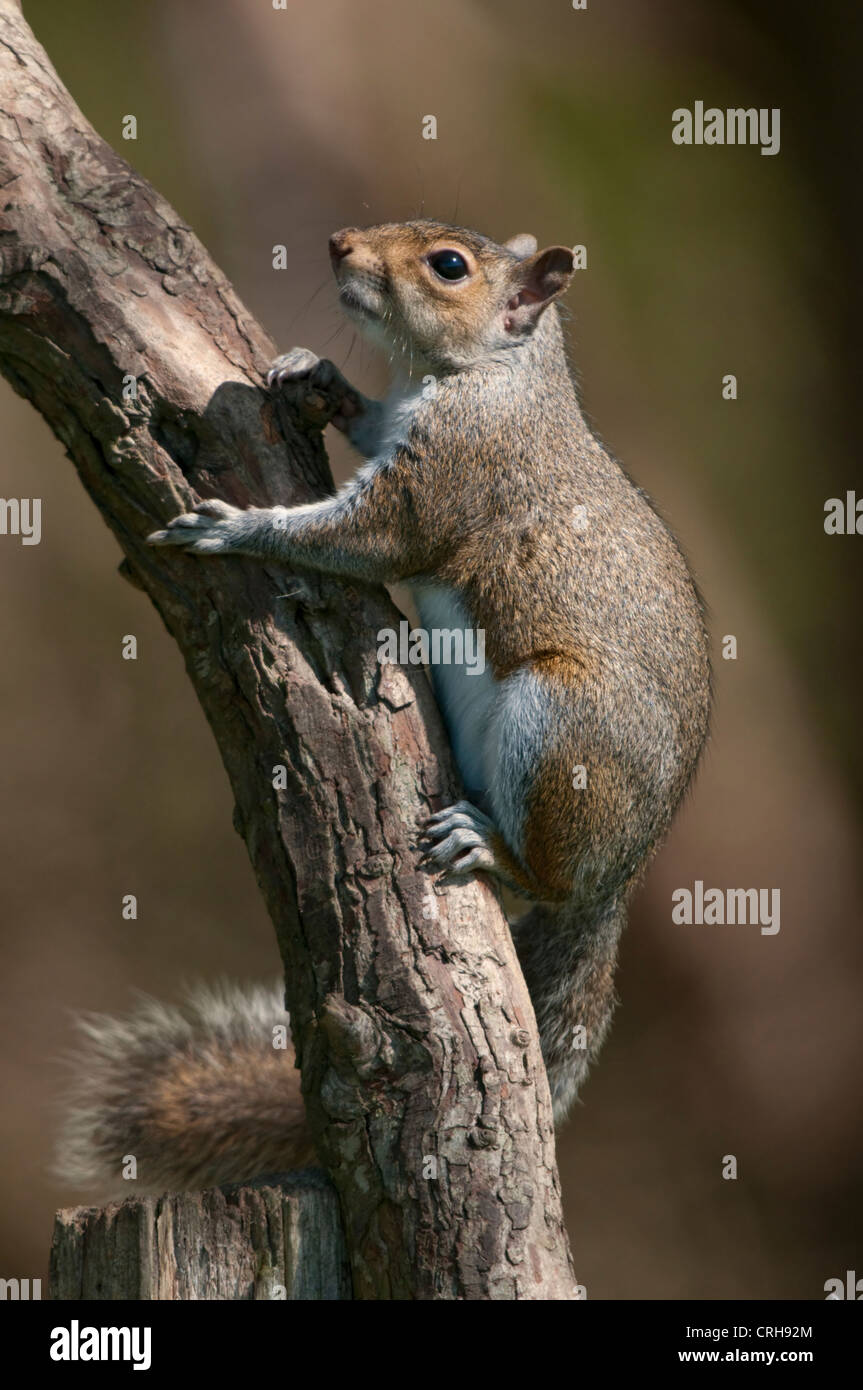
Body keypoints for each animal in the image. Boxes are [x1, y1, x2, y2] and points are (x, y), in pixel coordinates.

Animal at [57, 219, 711, 1195]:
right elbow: (362, 423)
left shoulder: (448, 468)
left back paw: (491, 848)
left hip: (561, 727)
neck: (485, 374)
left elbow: (362, 539)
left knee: (540, 872)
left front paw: (238, 527)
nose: (337, 243)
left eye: (449, 266)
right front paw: (315, 376)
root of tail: (618, 880)